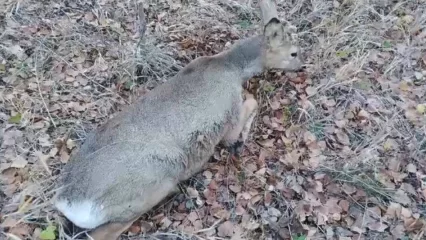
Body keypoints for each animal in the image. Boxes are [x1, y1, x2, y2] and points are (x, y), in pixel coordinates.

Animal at [53, 0, 302, 239]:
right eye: (294, 53)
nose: (302, 67)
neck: (231, 68)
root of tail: (68, 200)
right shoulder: (229, 116)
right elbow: (251, 103)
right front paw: (242, 139)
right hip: (154, 181)